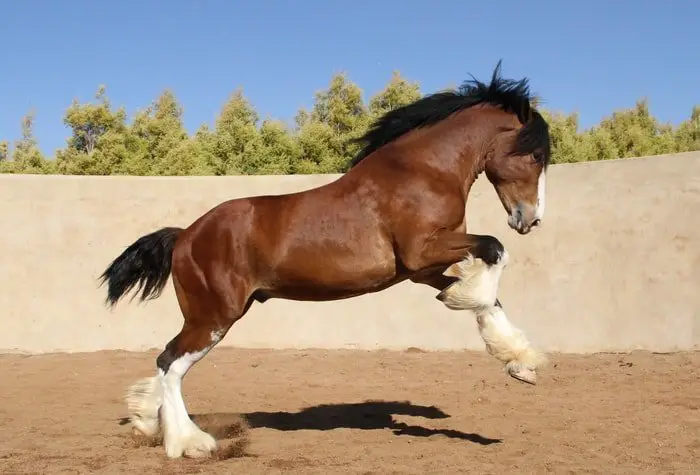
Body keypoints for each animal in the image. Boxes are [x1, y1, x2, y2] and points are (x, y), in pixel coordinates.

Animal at [101, 61, 552, 460]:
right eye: (533, 155)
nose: (529, 219)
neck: (422, 172)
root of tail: (184, 236)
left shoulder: (422, 271)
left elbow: (486, 293)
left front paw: (521, 363)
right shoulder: (423, 251)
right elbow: (495, 252)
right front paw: (478, 311)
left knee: (166, 362)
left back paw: (147, 420)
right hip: (213, 317)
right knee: (170, 363)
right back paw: (189, 444)